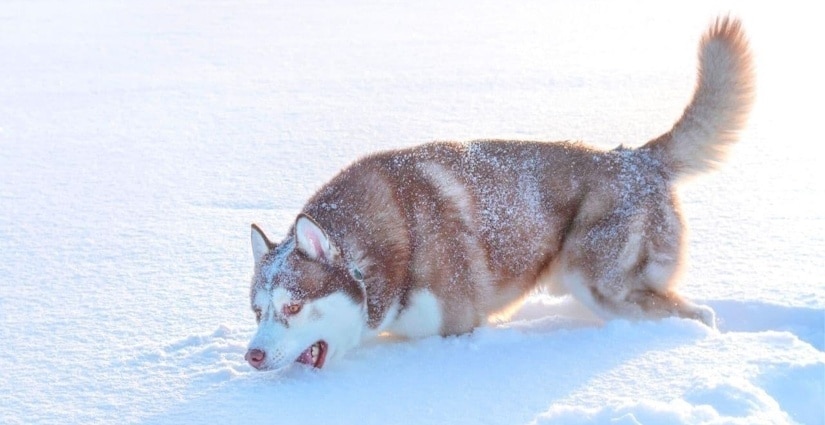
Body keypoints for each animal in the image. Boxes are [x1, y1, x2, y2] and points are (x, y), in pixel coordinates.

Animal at [243, 17, 752, 368]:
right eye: (257, 311)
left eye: (292, 306)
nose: (252, 355)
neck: (388, 251)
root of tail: (636, 158)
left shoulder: (457, 328)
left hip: (600, 284)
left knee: (699, 314)